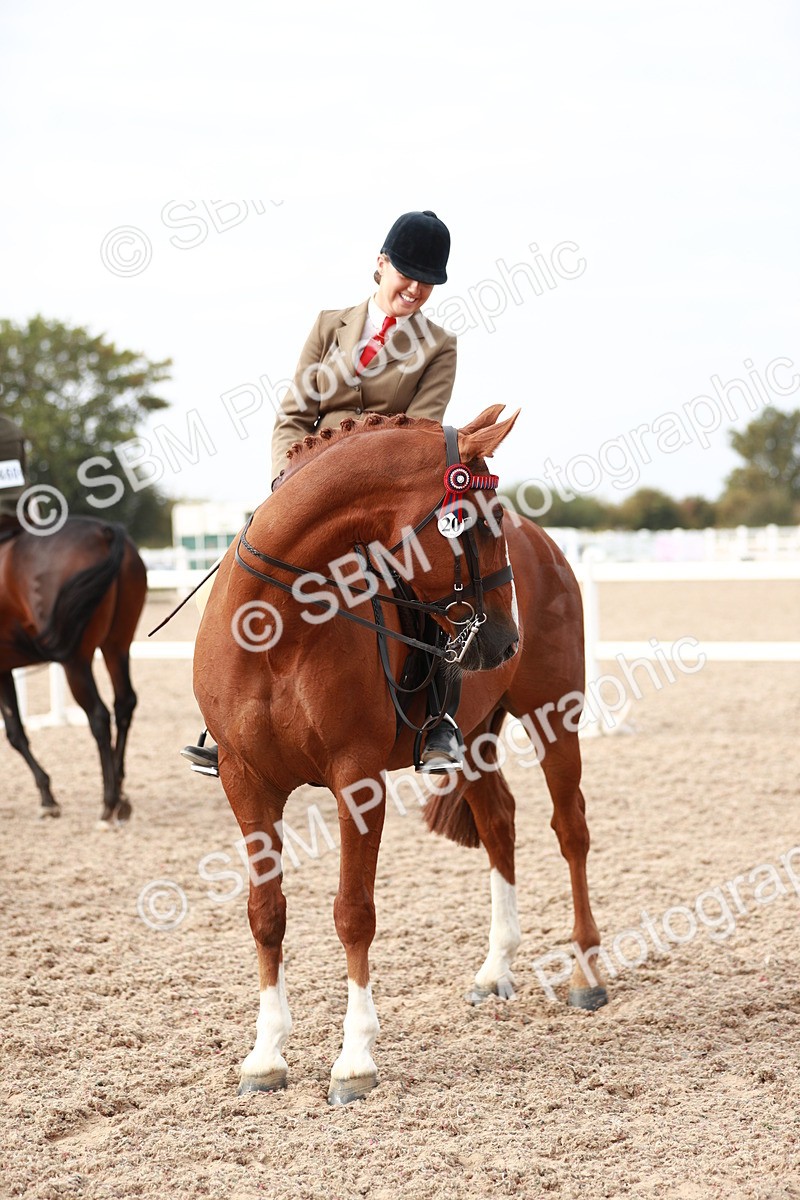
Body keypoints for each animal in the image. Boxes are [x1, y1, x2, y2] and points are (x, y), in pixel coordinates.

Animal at [0, 515, 147, 822]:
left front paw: (47, 798)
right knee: (124, 704)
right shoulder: (3, 669)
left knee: (99, 715)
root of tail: (103, 532)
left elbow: (15, 733)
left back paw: (109, 801)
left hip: (75, 661)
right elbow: (15, 731)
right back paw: (120, 792)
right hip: (117, 646)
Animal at [193, 405, 606, 1105]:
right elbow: (265, 914)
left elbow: (353, 913)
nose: (505, 640)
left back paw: (584, 974)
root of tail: (548, 545)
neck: (275, 623)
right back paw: (495, 968)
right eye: (482, 521)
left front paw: (355, 1059)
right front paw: (266, 1055)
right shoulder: (245, 783)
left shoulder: (356, 781)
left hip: (555, 714)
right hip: (474, 737)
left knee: (569, 828)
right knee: (499, 824)